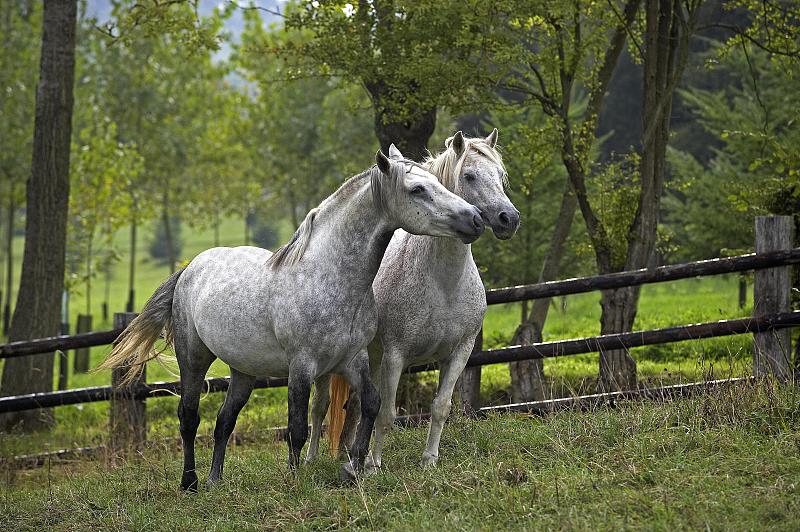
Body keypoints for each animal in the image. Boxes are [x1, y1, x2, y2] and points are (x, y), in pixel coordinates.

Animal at [100, 147, 488, 490]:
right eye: (417, 189)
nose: (475, 219)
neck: (329, 277)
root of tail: (190, 268)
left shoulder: (353, 359)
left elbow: (370, 404)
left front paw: (354, 469)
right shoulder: (302, 366)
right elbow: (297, 428)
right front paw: (296, 479)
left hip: (244, 372)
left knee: (224, 421)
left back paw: (215, 480)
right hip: (193, 359)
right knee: (189, 418)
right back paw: (190, 483)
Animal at [310, 131, 520, 468]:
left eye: (500, 175)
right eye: (469, 175)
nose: (508, 219)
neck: (444, 283)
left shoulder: (459, 353)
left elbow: (440, 407)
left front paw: (429, 461)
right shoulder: (396, 355)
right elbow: (386, 414)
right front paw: (374, 465)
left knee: (353, 406)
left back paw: (347, 454)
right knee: (321, 406)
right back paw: (313, 458)